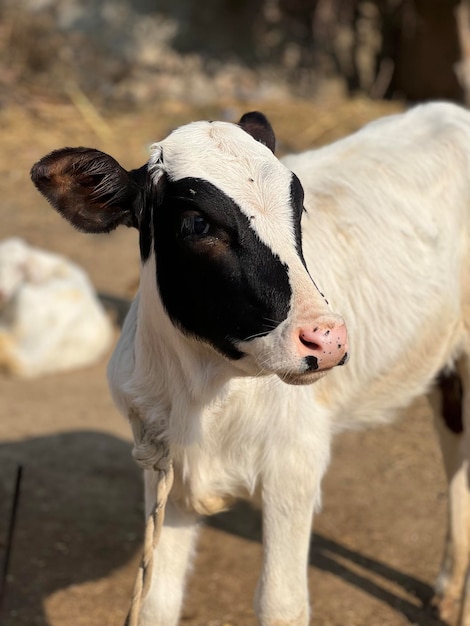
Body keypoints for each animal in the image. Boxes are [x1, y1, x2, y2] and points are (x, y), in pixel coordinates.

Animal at [32, 103, 470, 624]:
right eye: (197, 225)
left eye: (297, 208)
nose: (328, 339)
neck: (205, 397)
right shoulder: (160, 464)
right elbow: (157, 599)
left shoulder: (294, 464)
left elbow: (280, 603)